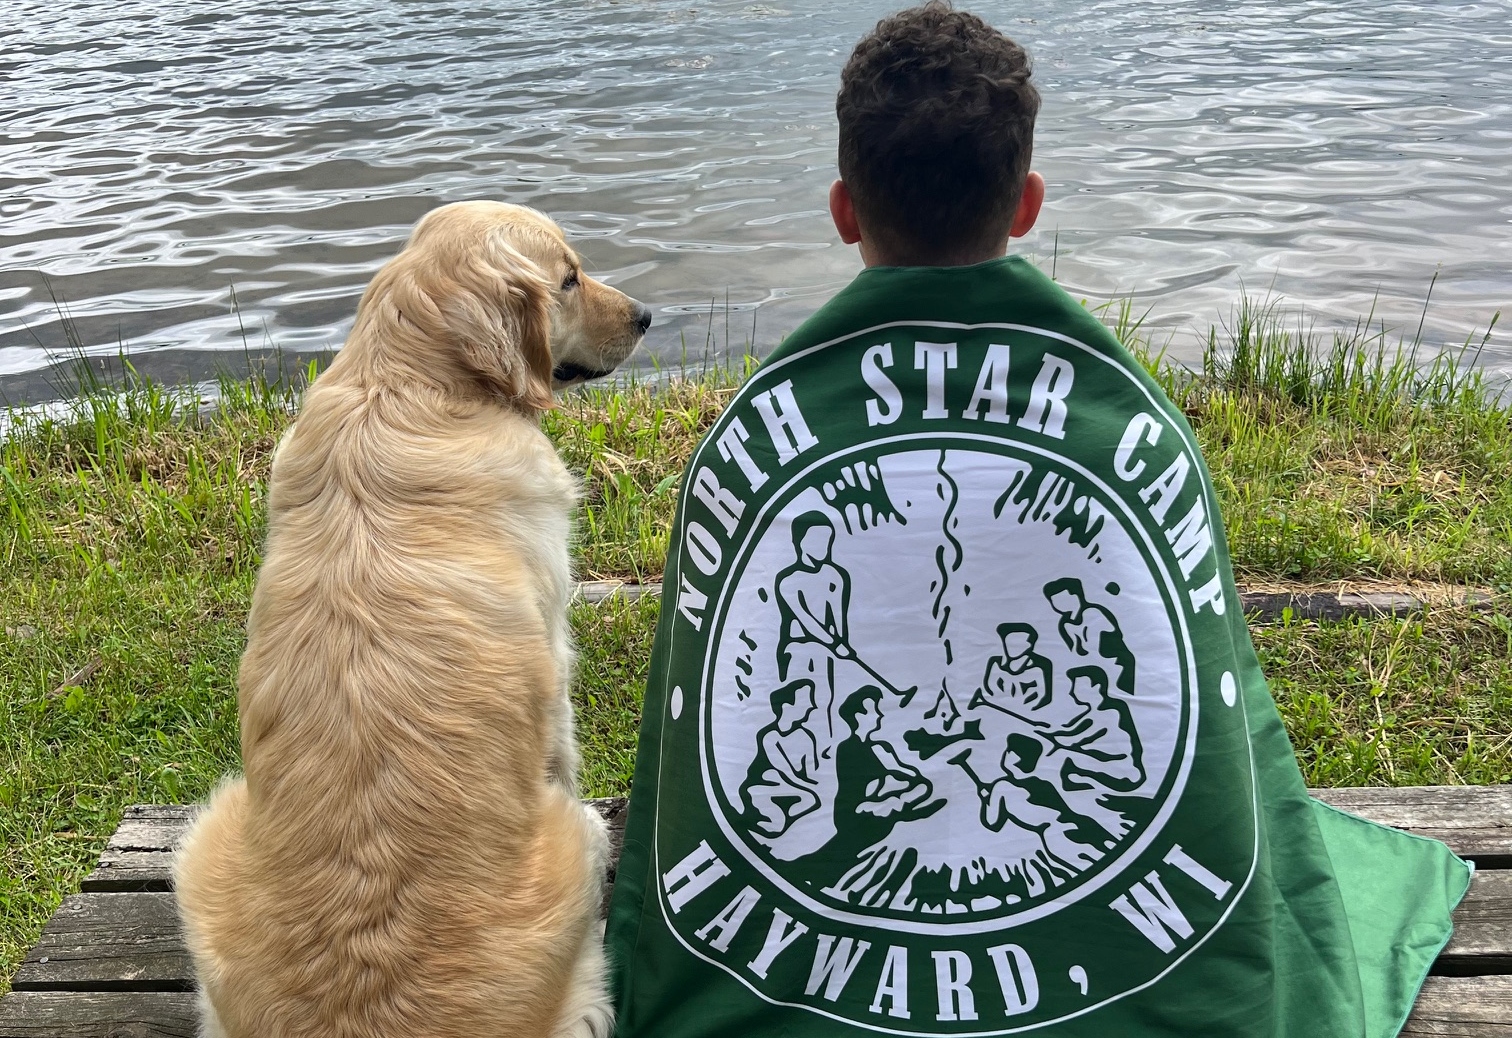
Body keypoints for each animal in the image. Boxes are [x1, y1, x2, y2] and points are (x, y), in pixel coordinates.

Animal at [175, 202, 650, 1038]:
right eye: (568, 279)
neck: (408, 380)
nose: (647, 316)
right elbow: (563, 744)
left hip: (202, 847)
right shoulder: (554, 640)